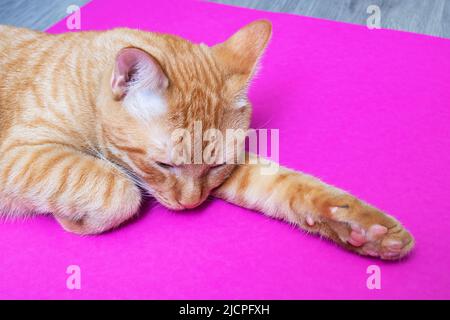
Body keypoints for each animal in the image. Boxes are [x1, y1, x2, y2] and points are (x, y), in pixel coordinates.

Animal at [0, 20, 414, 260]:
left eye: (216, 165)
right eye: (164, 164)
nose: (192, 204)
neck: (86, 86)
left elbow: (285, 184)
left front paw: (358, 226)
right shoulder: (16, 157)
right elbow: (116, 187)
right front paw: (74, 220)